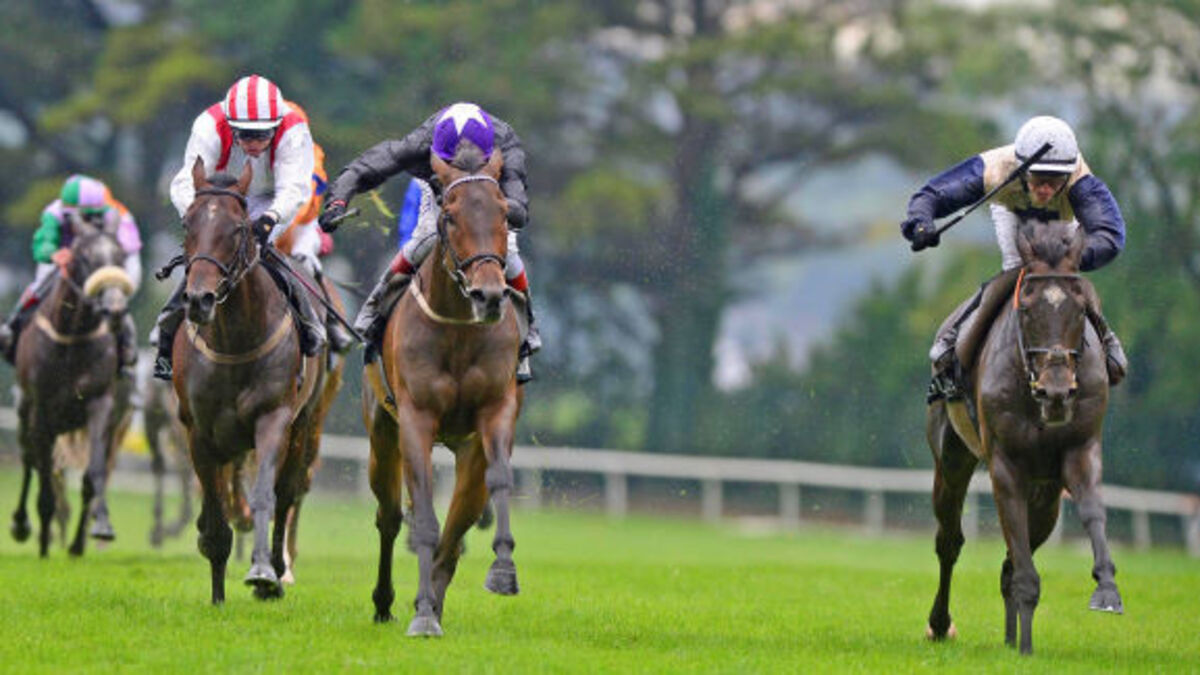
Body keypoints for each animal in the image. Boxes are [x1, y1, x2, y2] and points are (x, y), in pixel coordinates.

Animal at [10, 222, 135, 557]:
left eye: (120, 255)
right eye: (85, 257)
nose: (115, 308)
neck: (72, 336)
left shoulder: (100, 404)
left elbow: (93, 474)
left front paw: (95, 531)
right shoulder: (41, 412)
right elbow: (43, 476)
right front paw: (42, 546)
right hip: (25, 413)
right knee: (28, 460)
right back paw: (22, 525)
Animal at [172, 158, 330, 603]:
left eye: (239, 227)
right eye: (188, 222)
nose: (199, 299)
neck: (234, 339)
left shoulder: (274, 418)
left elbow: (266, 495)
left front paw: (262, 572)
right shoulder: (199, 432)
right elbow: (214, 512)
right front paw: (217, 591)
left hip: (305, 423)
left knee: (288, 491)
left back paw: (277, 569)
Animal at [364, 145, 523, 636]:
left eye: (505, 212)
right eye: (449, 216)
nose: (488, 295)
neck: (458, 329)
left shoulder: (495, 410)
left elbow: (497, 482)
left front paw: (502, 570)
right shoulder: (415, 418)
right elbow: (422, 519)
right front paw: (420, 616)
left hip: (466, 453)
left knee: (456, 530)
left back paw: (431, 599)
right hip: (382, 434)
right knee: (390, 517)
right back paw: (386, 602)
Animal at [925, 218, 1122, 654]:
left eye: (1081, 308)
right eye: (1027, 308)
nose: (1056, 391)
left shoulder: (1080, 450)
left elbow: (1092, 511)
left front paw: (1107, 589)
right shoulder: (1006, 464)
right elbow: (1020, 563)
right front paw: (1027, 648)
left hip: (1046, 497)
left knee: (1009, 562)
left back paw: (1011, 638)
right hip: (952, 459)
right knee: (949, 541)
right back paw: (941, 624)